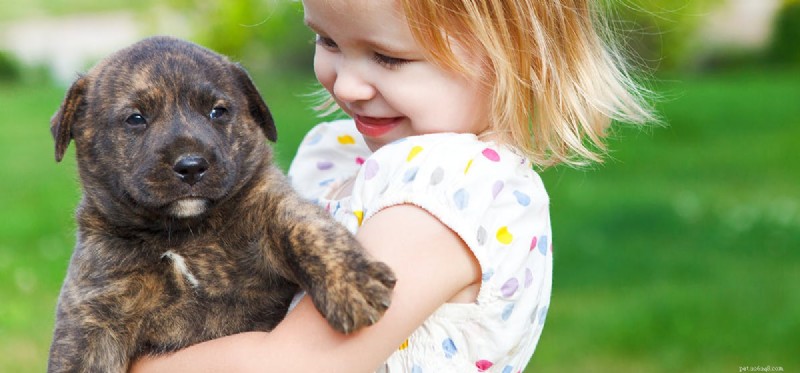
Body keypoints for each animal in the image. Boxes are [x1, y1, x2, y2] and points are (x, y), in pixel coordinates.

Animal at [46, 35, 394, 372]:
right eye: (136, 119)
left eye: (218, 112)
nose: (191, 166)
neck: (184, 234)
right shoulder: (94, 314)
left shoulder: (269, 202)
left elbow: (305, 227)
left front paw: (351, 283)